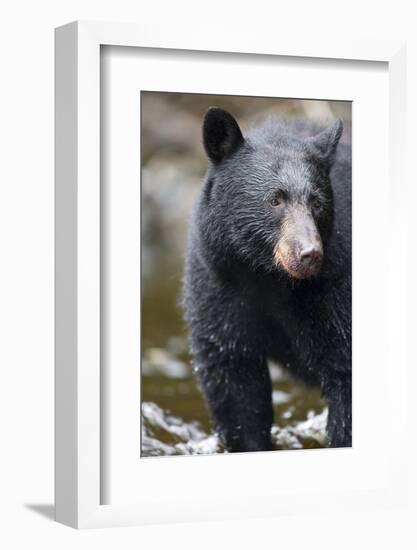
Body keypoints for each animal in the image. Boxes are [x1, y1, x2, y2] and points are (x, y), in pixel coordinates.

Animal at [184, 106, 350, 452]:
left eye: (317, 202)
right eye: (275, 199)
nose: (309, 253)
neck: (268, 277)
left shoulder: (338, 286)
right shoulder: (217, 282)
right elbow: (235, 383)